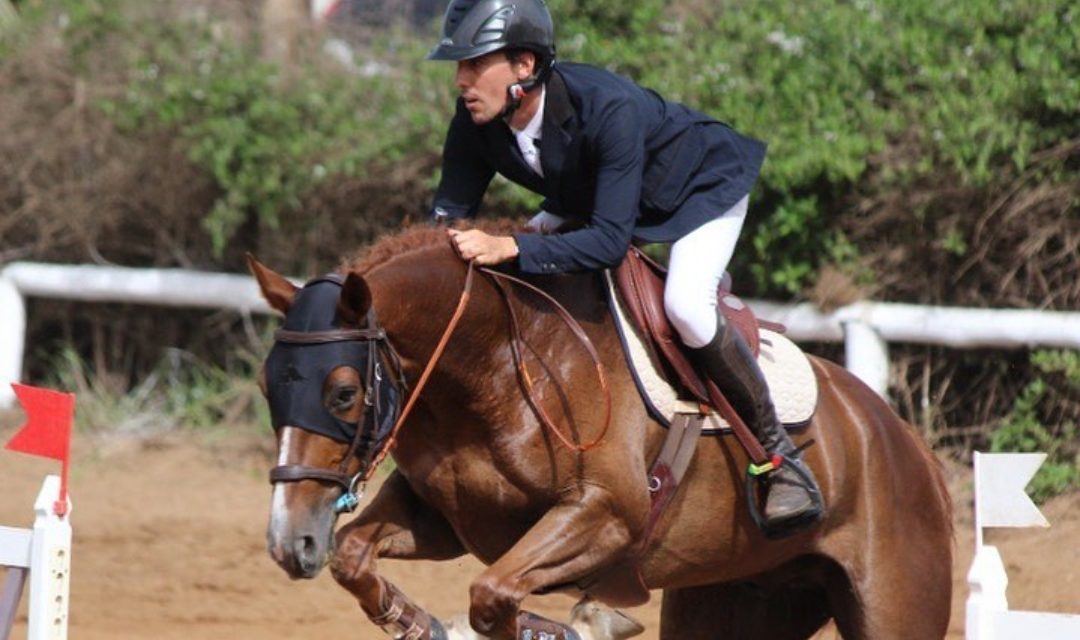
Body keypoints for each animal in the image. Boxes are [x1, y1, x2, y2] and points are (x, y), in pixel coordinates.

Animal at [250, 224, 954, 638]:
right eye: (267, 387)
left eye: (343, 393)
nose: (290, 544)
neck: (497, 362)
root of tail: (910, 448)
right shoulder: (446, 518)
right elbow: (353, 556)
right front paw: (418, 623)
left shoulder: (607, 515)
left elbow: (492, 593)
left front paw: (577, 624)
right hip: (739, 600)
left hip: (890, 607)